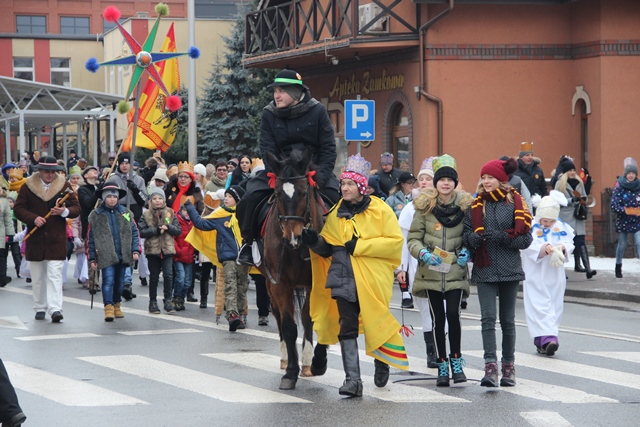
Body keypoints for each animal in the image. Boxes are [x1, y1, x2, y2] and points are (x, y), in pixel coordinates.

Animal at [258, 147, 328, 390]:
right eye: (278, 193)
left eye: (303, 192)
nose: (292, 238)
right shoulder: (280, 284)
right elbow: (289, 326)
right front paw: (290, 372)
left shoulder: (313, 283)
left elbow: (309, 319)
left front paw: (308, 363)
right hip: (268, 282)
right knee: (278, 315)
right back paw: (284, 358)